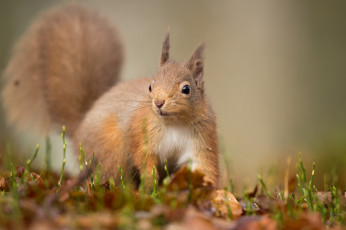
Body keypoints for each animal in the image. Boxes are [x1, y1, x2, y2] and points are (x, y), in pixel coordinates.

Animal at [1, 4, 219, 188]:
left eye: (186, 89)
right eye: (150, 86)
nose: (158, 103)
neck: (174, 123)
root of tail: (80, 128)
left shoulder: (203, 139)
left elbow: (203, 166)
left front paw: (212, 191)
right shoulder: (140, 131)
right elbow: (144, 158)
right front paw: (150, 185)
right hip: (110, 146)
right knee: (111, 172)